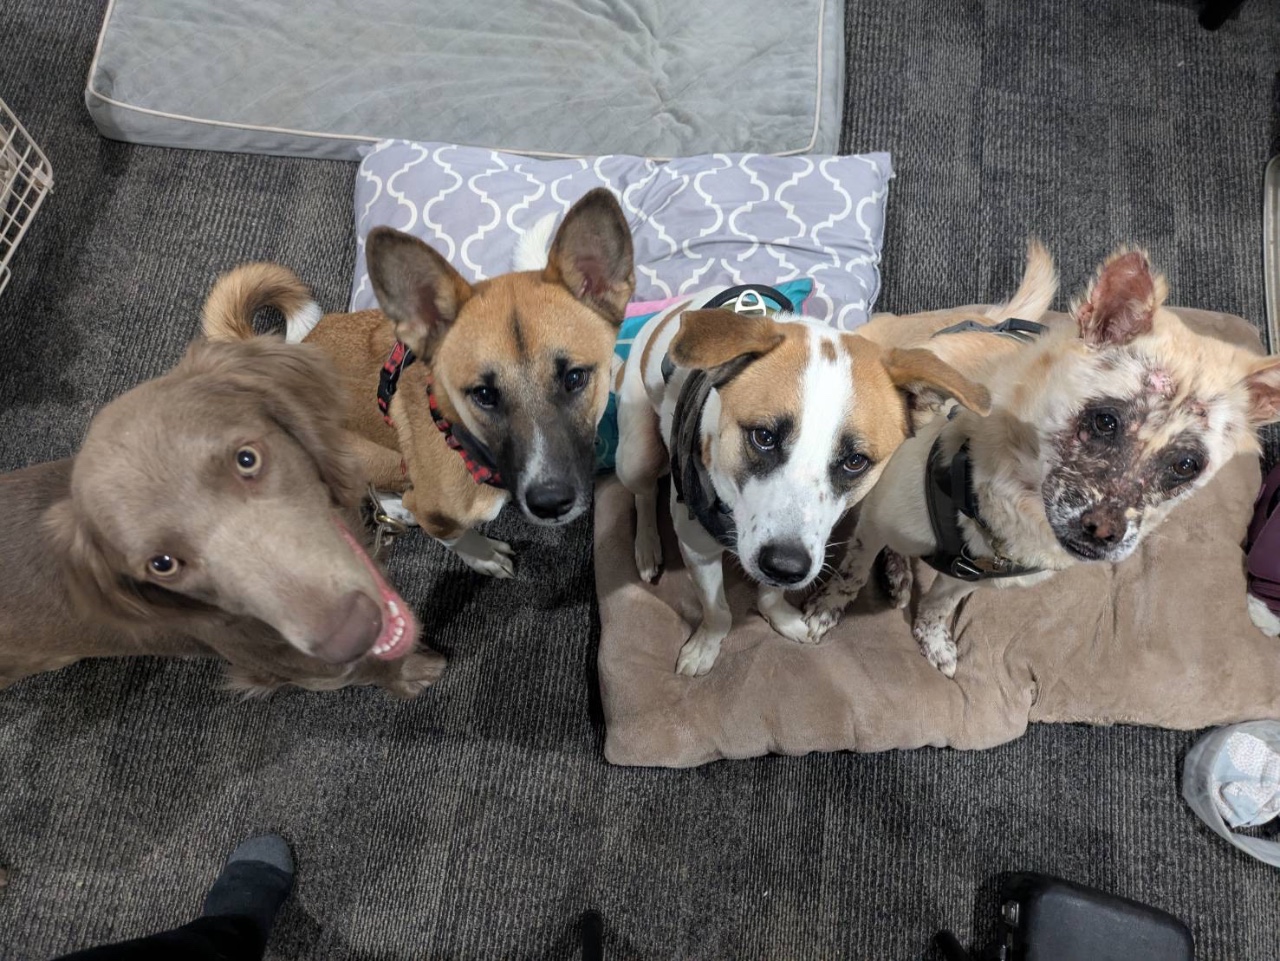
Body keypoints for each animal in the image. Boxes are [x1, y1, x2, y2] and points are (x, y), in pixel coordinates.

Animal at [0, 337, 444, 697]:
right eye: (163, 565)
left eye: (247, 459)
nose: (351, 632)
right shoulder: (309, 671)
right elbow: (375, 668)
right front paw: (412, 673)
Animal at [202, 188, 634, 578]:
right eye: (483, 394)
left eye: (575, 377)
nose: (550, 501)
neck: (465, 443)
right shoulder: (438, 513)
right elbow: (458, 538)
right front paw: (484, 558)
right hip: (376, 456)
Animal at [611, 285, 992, 676]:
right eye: (763, 436)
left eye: (855, 461)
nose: (784, 565)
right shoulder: (696, 548)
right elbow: (716, 610)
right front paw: (706, 645)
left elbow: (770, 593)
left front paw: (780, 617)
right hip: (635, 456)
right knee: (642, 494)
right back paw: (646, 546)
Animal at [802, 243, 1280, 676]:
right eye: (1105, 420)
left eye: (1186, 465)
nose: (1103, 534)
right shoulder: (873, 529)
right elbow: (849, 574)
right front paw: (825, 611)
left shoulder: (968, 575)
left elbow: (940, 604)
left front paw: (932, 638)